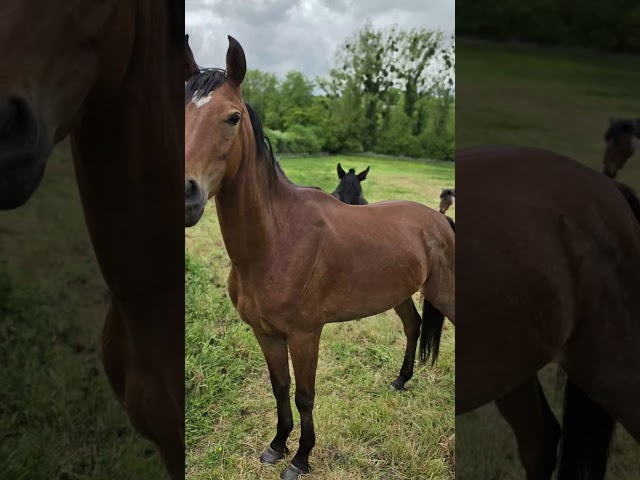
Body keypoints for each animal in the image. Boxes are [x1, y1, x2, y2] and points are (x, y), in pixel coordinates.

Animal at [184, 35, 455, 480]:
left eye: (232, 118)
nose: (186, 195)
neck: (275, 242)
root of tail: (440, 219)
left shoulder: (305, 335)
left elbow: (305, 396)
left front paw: (301, 458)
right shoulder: (266, 333)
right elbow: (280, 388)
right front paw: (277, 445)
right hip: (399, 294)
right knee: (413, 326)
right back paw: (400, 381)